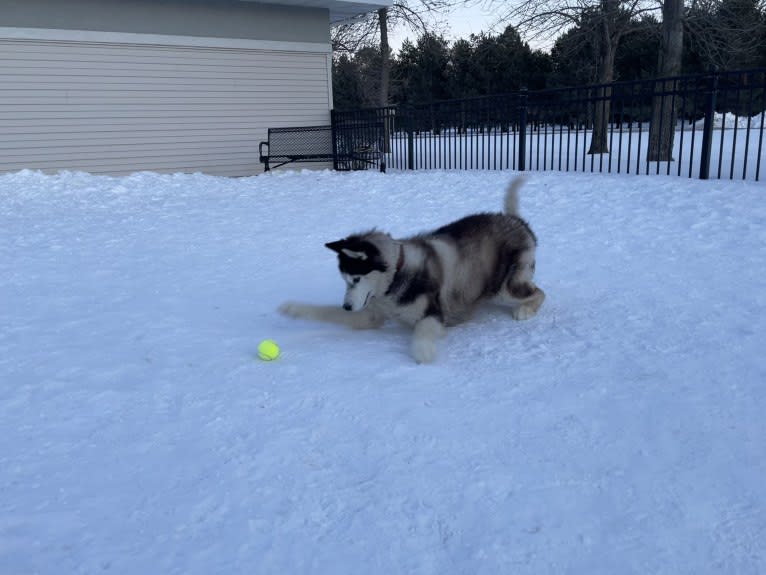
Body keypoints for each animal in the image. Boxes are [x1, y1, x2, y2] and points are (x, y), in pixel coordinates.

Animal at [282, 178, 544, 362]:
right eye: (344, 280)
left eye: (356, 279)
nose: (346, 306)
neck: (394, 279)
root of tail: (515, 220)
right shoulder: (370, 314)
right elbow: (326, 311)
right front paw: (292, 309)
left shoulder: (434, 313)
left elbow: (422, 330)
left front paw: (423, 352)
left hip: (505, 287)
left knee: (539, 292)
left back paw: (525, 310)